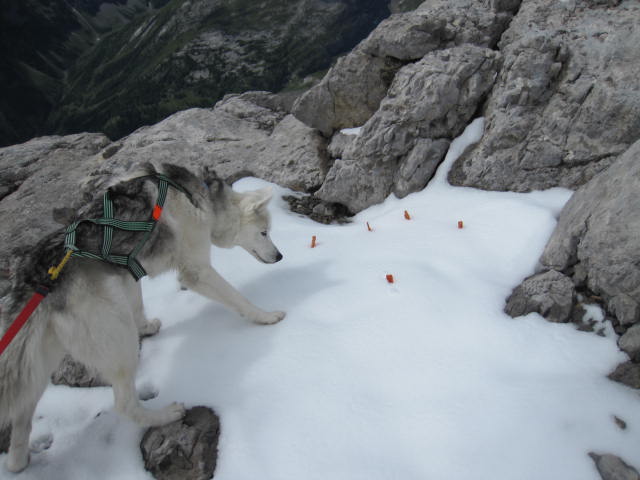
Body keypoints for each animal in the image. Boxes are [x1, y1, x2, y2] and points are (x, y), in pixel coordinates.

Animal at [0, 163, 284, 470]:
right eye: (265, 232)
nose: (280, 256)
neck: (201, 197)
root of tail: (36, 278)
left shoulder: (129, 273)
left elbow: (137, 304)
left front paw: (147, 326)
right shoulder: (196, 272)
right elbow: (237, 298)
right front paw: (265, 316)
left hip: (37, 369)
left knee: (20, 423)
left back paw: (19, 461)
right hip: (118, 341)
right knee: (124, 404)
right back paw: (164, 415)